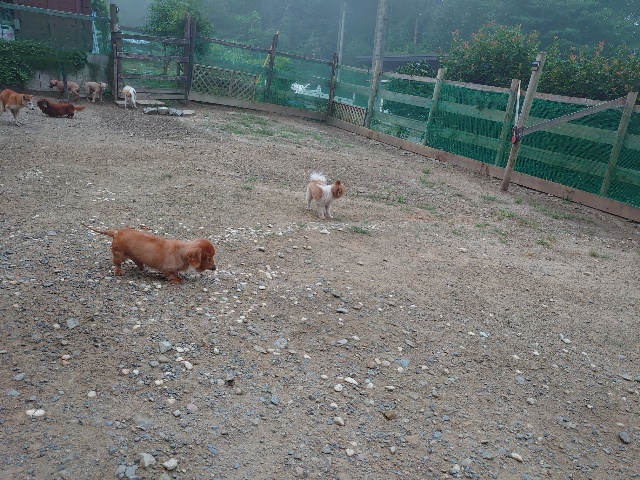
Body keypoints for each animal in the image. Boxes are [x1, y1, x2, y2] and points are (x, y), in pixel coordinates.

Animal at [82, 223, 216, 284]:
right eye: (209, 258)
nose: (215, 268)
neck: (180, 252)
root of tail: (116, 232)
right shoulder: (167, 268)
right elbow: (172, 274)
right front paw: (178, 279)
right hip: (119, 254)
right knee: (117, 263)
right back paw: (119, 271)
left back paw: (141, 266)